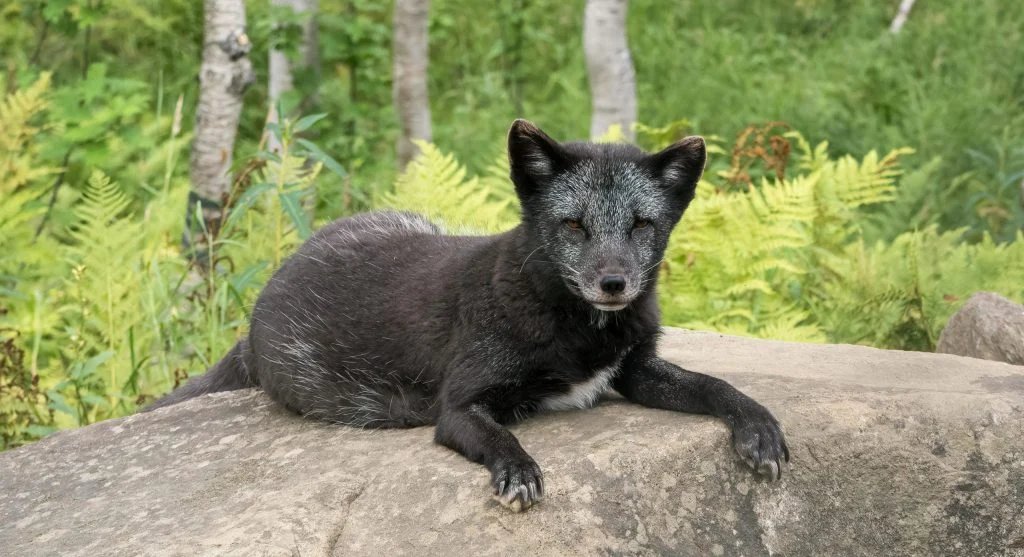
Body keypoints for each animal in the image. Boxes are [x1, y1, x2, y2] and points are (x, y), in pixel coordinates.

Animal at [148, 120, 790, 512]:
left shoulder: (634, 369)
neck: (577, 331)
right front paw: (518, 469)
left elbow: (714, 384)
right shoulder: (458, 405)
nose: (614, 284)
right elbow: (497, 435)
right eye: (573, 224)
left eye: (640, 224)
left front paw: (759, 425)